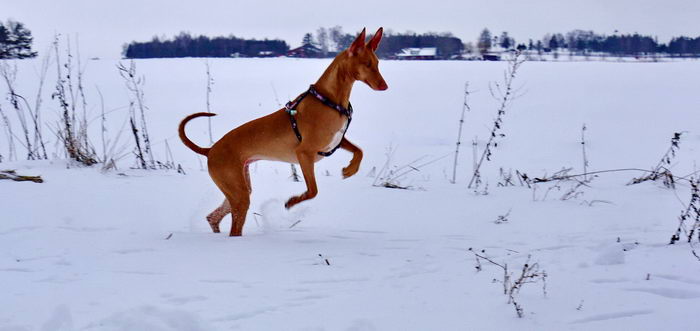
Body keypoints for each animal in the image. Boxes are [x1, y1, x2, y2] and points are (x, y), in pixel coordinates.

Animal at [178, 27, 388, 236]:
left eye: (377, 63)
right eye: (367, 64)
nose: (384, 86)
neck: (329, 100)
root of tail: (210, 150)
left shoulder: (336, 141)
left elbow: (359, 150)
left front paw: (350, 170)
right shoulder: (304, 154)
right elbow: (313, 191)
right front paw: (292, 202)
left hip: (239, 186)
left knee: (213, 217)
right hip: (238, 193)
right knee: (233, 227)